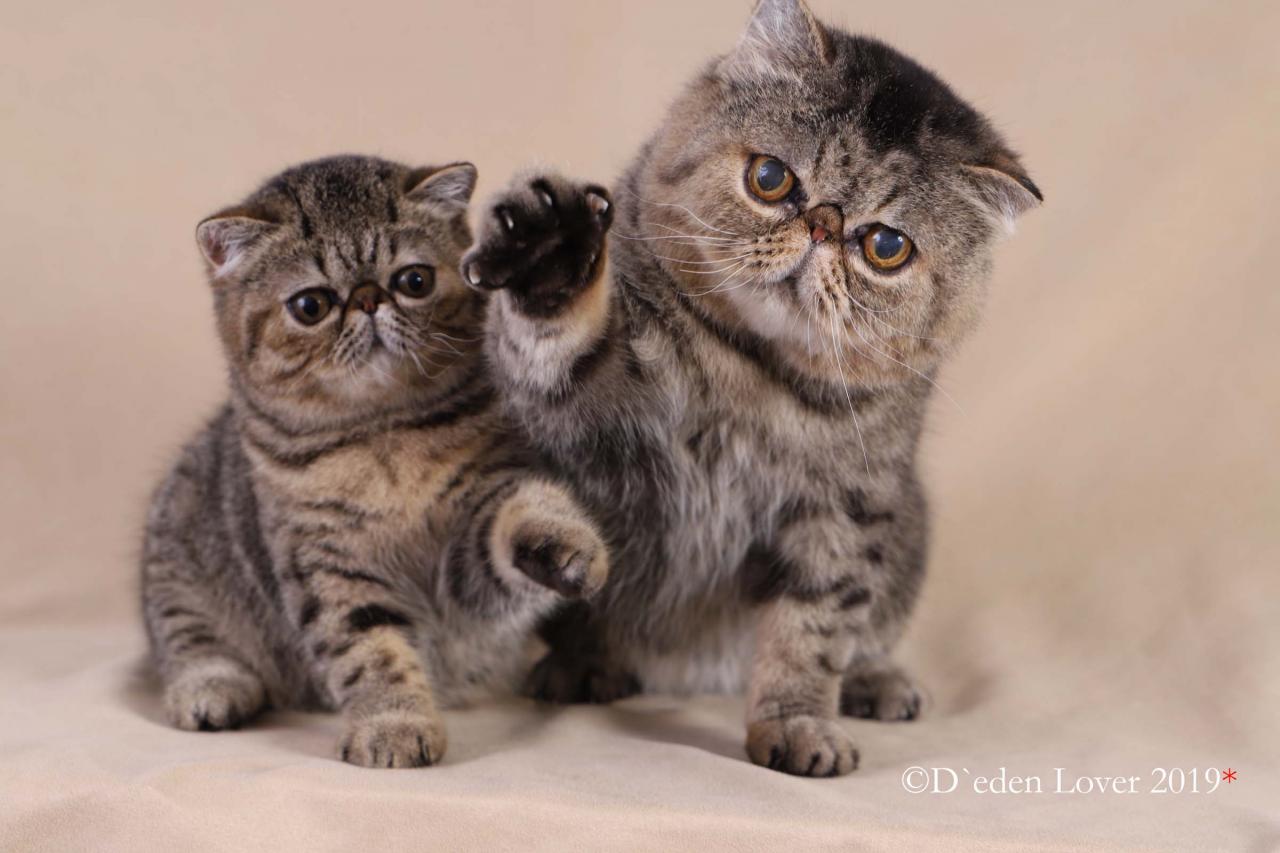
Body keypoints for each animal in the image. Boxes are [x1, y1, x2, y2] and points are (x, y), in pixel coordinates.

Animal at [137, 156, 606, 768]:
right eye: (311, 305)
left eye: (414, 281)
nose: (366, 298)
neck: (382, 438)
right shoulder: (326, 565)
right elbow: (370, 649)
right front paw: (394, 724)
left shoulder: (468, 552)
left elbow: (520, 517)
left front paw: (563, 545)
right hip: (175, 556)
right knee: (186, 640)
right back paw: (213, 689)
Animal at [465, 0, 1044, 773]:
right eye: (771, 179)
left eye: (886, 246)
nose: (822, 226)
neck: (755, 375)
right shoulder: (585, 424)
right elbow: (557, 345)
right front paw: (552, 255)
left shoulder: (847, 507)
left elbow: (813, 628)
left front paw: (798, 725)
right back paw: (585, 667)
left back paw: (877, 681)